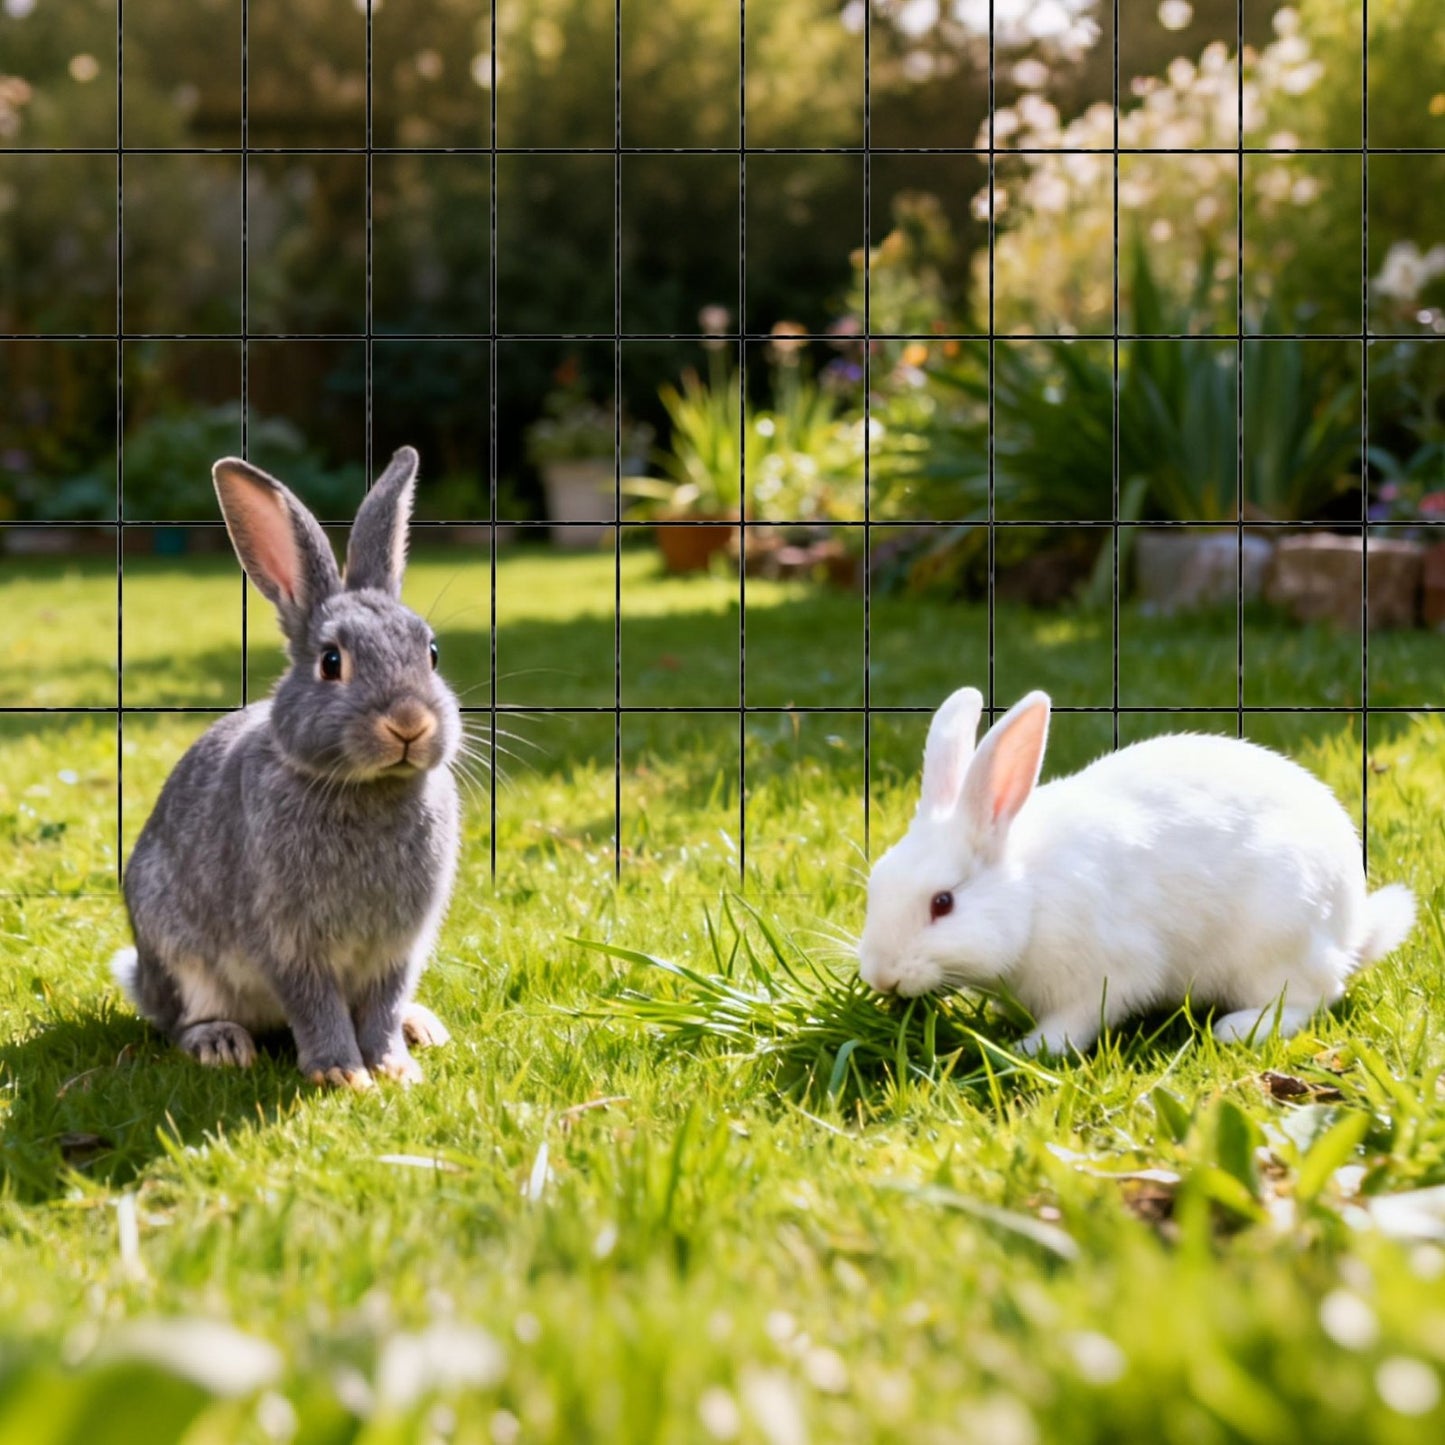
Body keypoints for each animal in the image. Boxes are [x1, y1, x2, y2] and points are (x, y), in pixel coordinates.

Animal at [112, 446, 462, 1089]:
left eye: (430, 653)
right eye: (331, 662)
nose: (409, 723)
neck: (363, 787)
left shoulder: (398, 948)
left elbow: (383, 1004)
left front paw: (394, 1068)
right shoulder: (289, 943)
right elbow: (315, 1002)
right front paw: (343, 1074)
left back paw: (420, 1026)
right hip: (176, 956)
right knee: (179, 1021)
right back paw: (220, 1043)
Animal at [857, 686, 1416, 1056]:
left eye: (943, 903)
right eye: (876, 884)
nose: (881, 976)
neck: (1030, 897)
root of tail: (1350, 931)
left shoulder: (1110, 973)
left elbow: (1083, 1017)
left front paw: (1034, 1047)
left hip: (1276, 942)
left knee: (1313, 997)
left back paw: (1239, 1028)